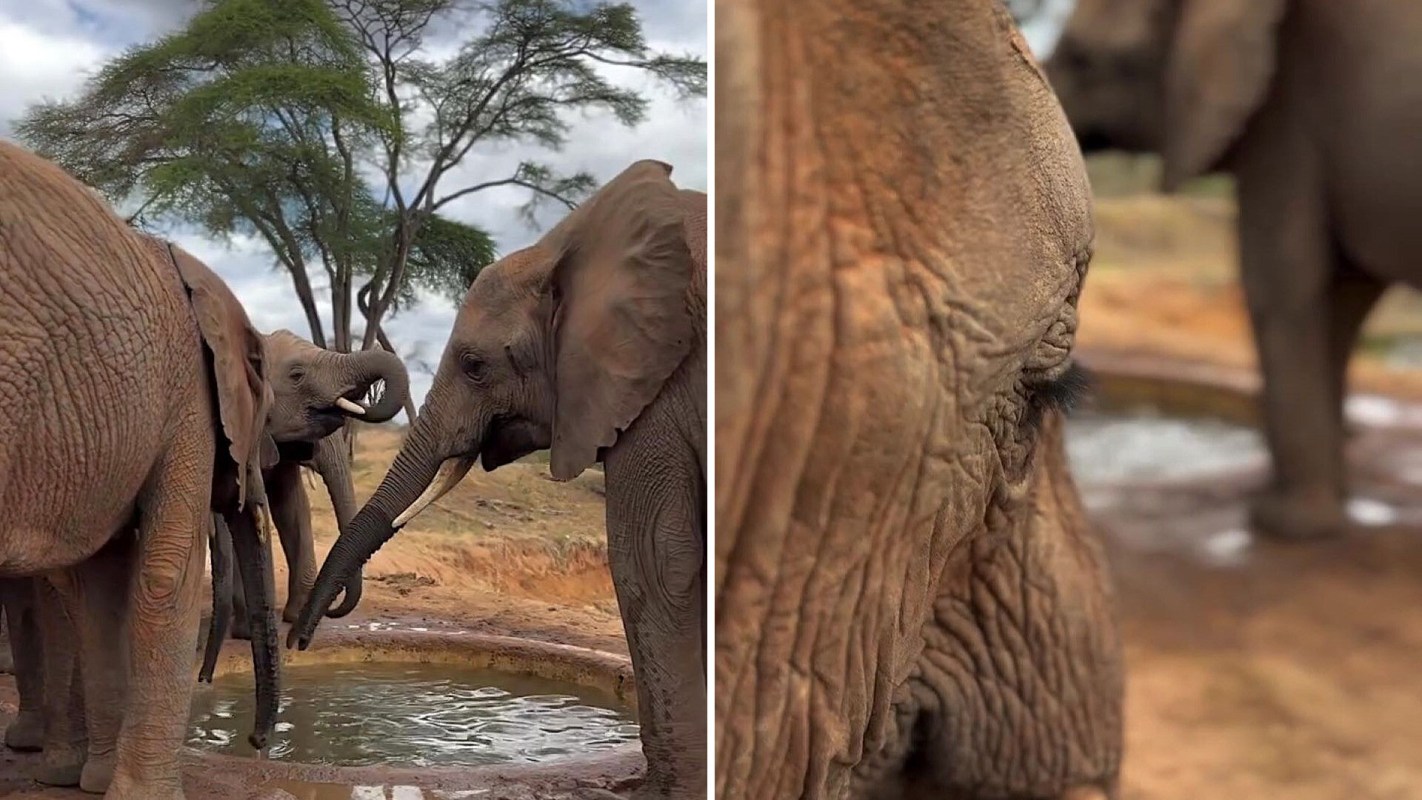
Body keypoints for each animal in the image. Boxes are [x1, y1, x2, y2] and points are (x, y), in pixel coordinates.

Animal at [0, 140, 280, 800]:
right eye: (265, 402)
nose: (258, 743)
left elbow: (101, 588)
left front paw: (97, 783)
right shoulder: (189, 400)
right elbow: (164, 575)